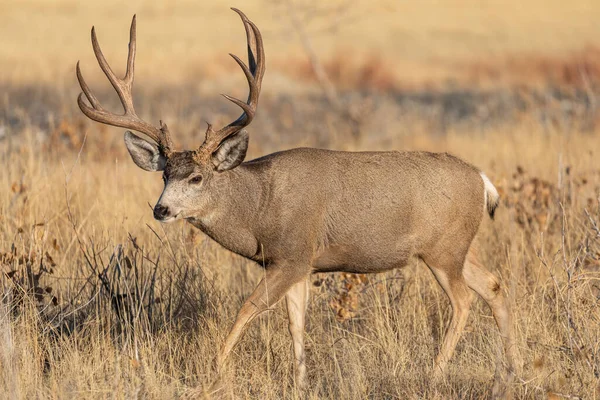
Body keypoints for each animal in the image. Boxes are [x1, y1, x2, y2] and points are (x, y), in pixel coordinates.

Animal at [77, 7, 516, 392]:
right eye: (165, 174)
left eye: (197, 176)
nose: (161, 209)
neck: (259, 208)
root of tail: (482, 181)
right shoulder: (302, 264)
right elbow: (296, 322)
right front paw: (301, 381)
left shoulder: (291, 254)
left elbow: (249, 307)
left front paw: (216, 372)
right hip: (460, 247)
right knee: (494, 285)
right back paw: (512, 368)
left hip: (442, 249)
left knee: (463, 300)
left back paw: (436, 372)